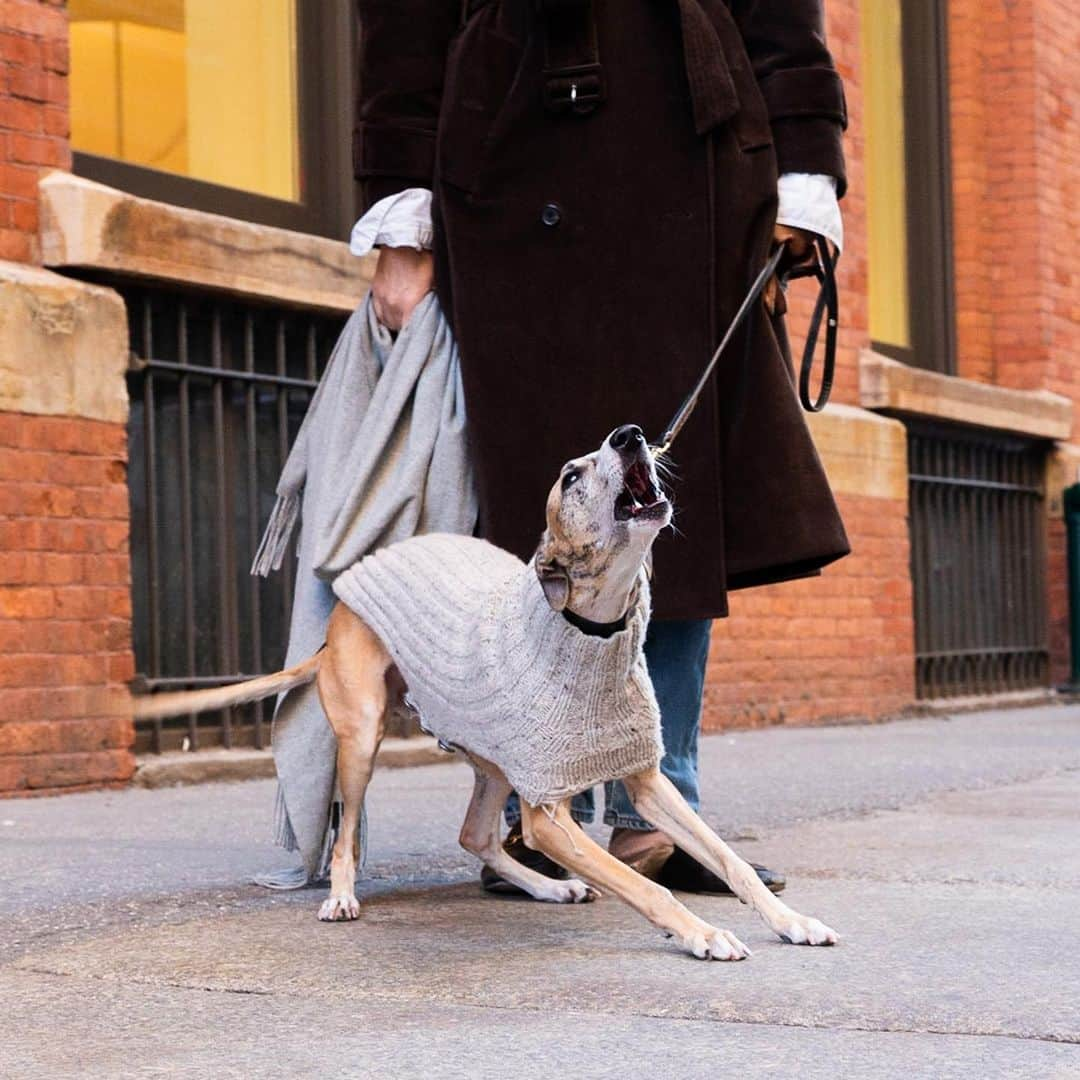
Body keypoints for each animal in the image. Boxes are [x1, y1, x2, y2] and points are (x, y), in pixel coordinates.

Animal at [139, 425, 838, 959]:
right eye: (570, 476)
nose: (631, 434)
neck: (588, 633)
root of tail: (344, 602)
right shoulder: (548, 814)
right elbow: (645, 887)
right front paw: (703, 934)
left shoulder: (643, 778)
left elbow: (728, 858)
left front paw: (791, 920)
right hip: (364, 735)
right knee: (346, 832)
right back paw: (341, 896)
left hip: (494, 756)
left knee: (474, 835)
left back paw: (551, 888)